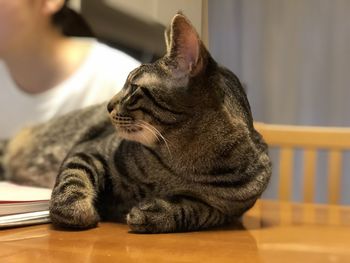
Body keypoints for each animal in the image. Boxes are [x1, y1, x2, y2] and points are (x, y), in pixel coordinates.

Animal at [0, 14, 270, 233]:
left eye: (132, 88)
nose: (108, 105)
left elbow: (196, 210)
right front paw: (77, 211)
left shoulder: (226, 212)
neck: (184, 166)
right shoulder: (89, 150)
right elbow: (71, 179)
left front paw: (157, 212)